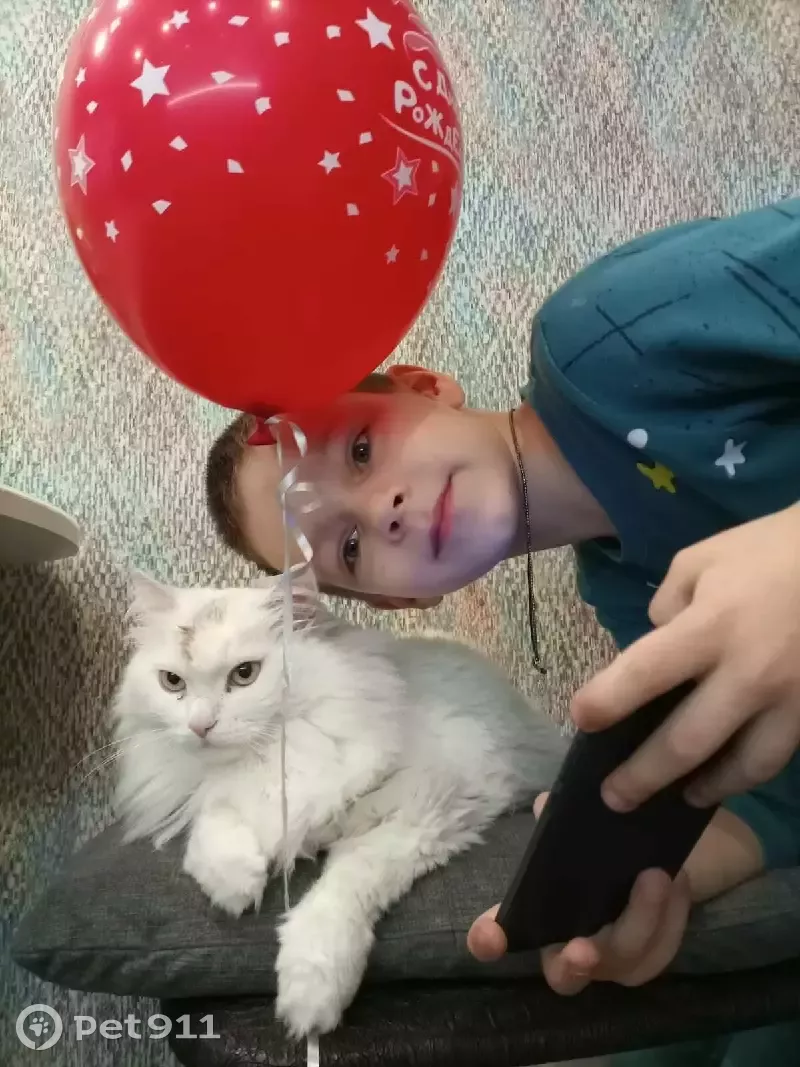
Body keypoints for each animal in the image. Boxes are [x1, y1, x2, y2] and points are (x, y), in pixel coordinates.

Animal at [112, 573, 569, 1039]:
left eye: (244, 674)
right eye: (172, 682)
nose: (200, 727)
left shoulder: (429, 805)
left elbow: (347, 881)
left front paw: (311, 994)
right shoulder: (226, 795)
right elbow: (215, 821)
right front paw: (235, 885)